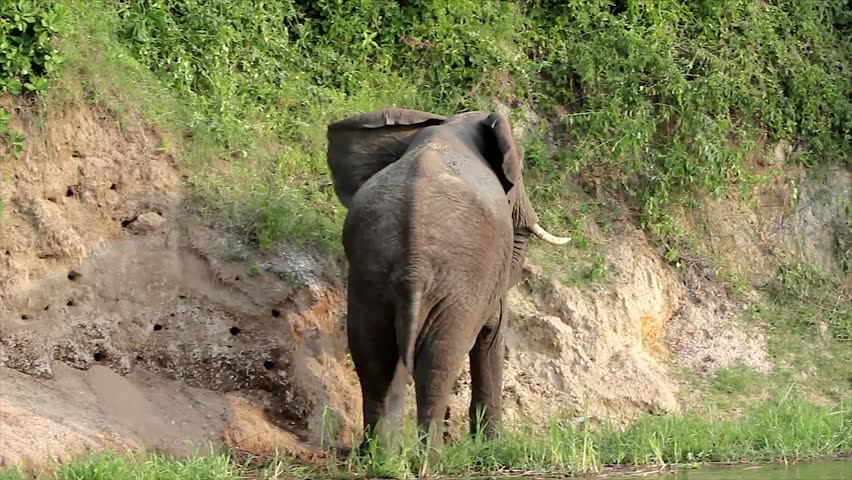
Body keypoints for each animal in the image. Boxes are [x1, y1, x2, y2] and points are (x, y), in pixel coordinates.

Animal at [325, 108, 569, 461]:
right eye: (519, 171)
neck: (450, 125)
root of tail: (413, 263)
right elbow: (492, 332)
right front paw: (493, 449)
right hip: (455, 281)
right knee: (440, 360)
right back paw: (429, 460)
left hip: (372, 279)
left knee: (372, 355)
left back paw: (378, 457)